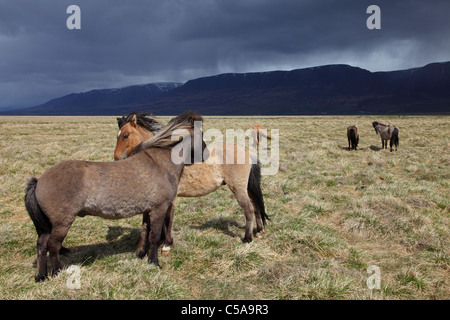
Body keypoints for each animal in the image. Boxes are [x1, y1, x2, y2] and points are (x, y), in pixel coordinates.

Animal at [25, 111, 207, 282]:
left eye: (126, 135)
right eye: (201, 134)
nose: (206, 153)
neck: (159, 163)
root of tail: (39, 181)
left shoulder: (148, 210)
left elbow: (145, 230)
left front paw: (142, 254)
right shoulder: (159, 209)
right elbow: (155, 236)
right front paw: (154, 262)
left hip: (49, 226)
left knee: (42, 244)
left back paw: (41, 275)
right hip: (61, 223)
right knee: (53, 246)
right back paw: (57, 272)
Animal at [114, 112, 268, 258]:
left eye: (126, 135)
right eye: (118, 136)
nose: (117, 159)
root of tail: (247, 152)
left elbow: (167, 219)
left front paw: (166, 245)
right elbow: (148, 222)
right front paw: (144, 249)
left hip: (238, 189)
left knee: (248, 209)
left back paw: (247, 238)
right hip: (246, 188)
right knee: (255, 206)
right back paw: (259, 230)